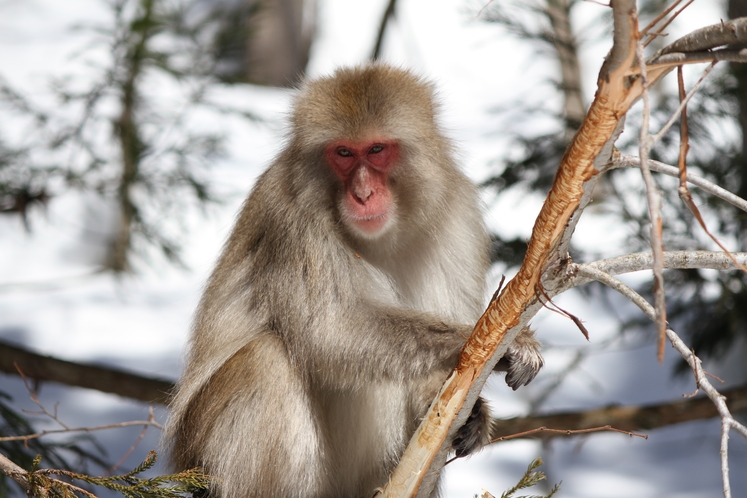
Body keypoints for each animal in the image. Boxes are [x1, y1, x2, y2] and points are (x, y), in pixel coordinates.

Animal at [165, 65, 544, 498]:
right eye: (343, 153)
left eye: (377, 149)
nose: (362, 194)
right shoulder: (292, 217)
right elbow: (330, 329)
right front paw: (508, 342)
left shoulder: (458, 217)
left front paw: (472, 415)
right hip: (202, 458)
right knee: (266, 360)